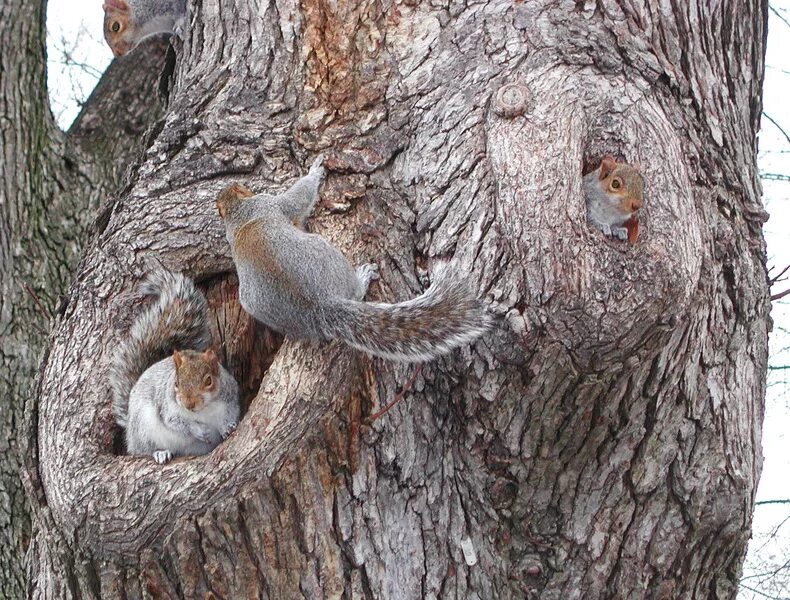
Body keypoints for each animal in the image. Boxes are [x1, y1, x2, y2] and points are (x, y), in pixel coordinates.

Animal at [108, 270, 240, 464]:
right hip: (142, 427)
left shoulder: (230, 400)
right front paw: (199, 430)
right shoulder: (167, 408)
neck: (203, 410)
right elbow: (176, 422)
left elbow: (230, 416)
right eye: (176, 383)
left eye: (208, 381)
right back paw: (160, 452)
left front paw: (227, 427)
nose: (189, 404)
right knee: (143, 450)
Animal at [213, 156, 492, 360]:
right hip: (328, 254)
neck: (237, 214)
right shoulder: (270, 203)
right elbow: (299, 198)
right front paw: (315, 172)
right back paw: (363, 277)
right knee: (355, 291)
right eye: (244, 188)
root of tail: (321, 305)